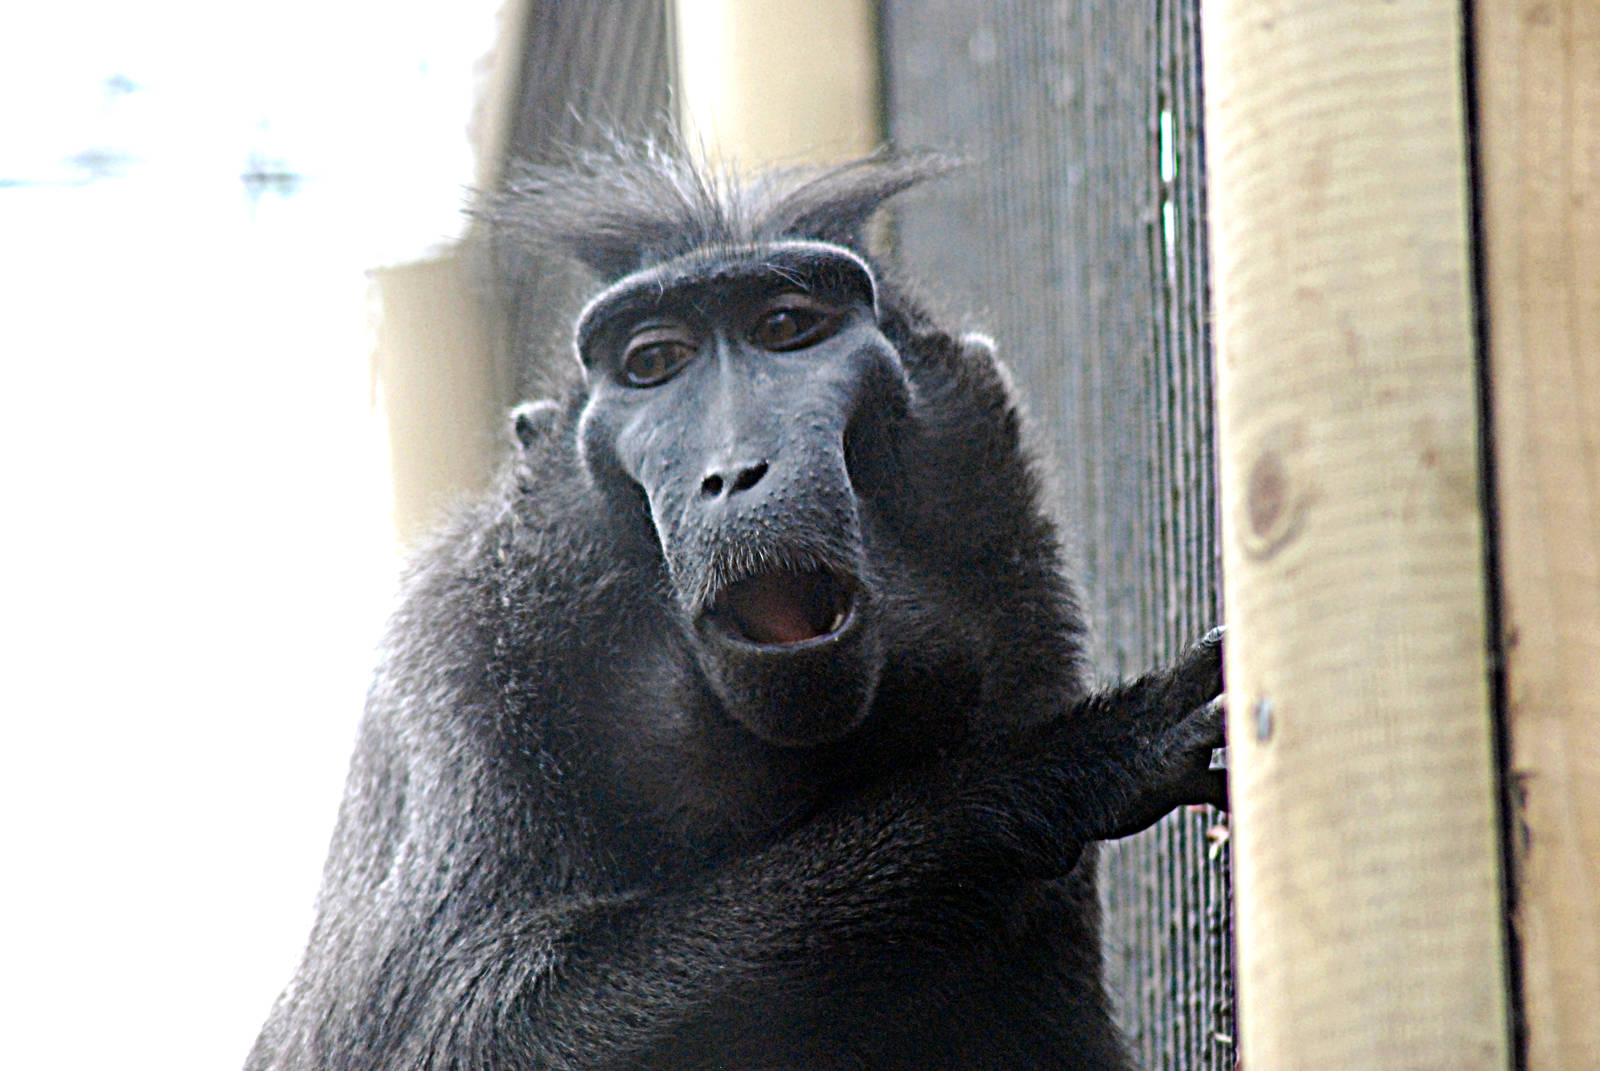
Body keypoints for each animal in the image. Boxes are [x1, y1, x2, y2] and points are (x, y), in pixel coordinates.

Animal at [245, 144, 1227, 1071]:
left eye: (786, 329)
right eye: (654, 363)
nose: (734, 471)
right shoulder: (458, 677)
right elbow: (462, 1033)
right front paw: (1054, 768)